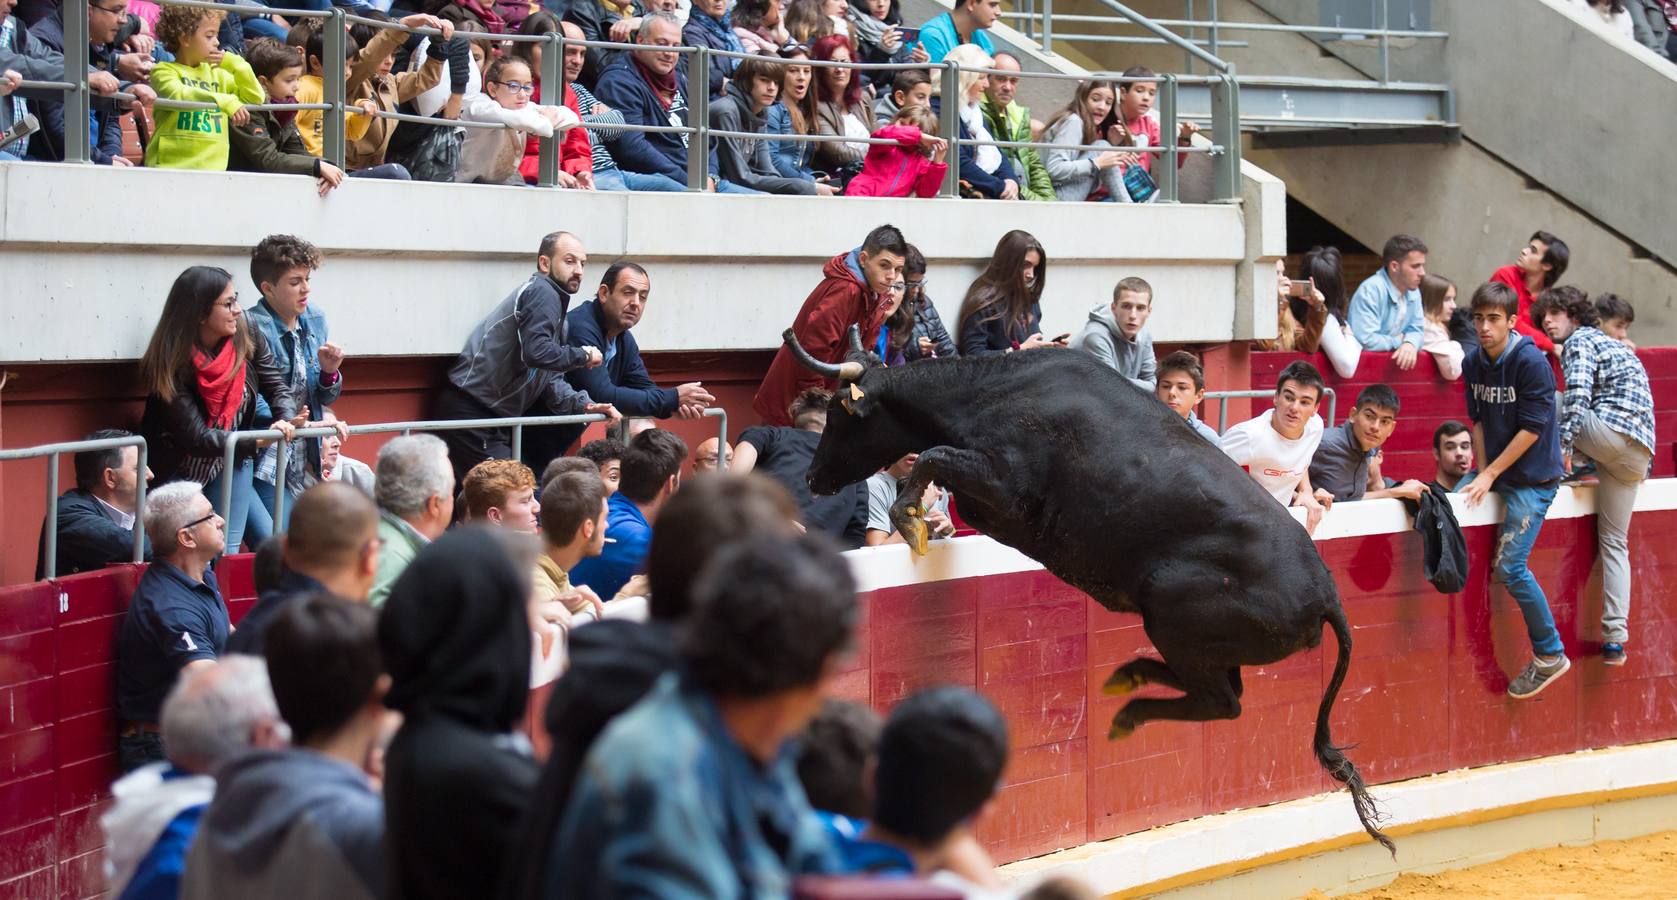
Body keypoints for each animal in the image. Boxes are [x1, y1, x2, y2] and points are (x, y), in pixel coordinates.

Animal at [791, 326, 1395, 851]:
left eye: (840, 416)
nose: (812, 479)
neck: (989, 391)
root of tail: (1326, 593)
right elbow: (940, 470)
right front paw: (918, 517)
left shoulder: (1006, 489)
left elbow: (937, 457)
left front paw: (910, 519)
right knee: (1220, 691)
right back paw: (1131, 676)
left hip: (1172, 611)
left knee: (1222, 702)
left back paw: (1130, 708)